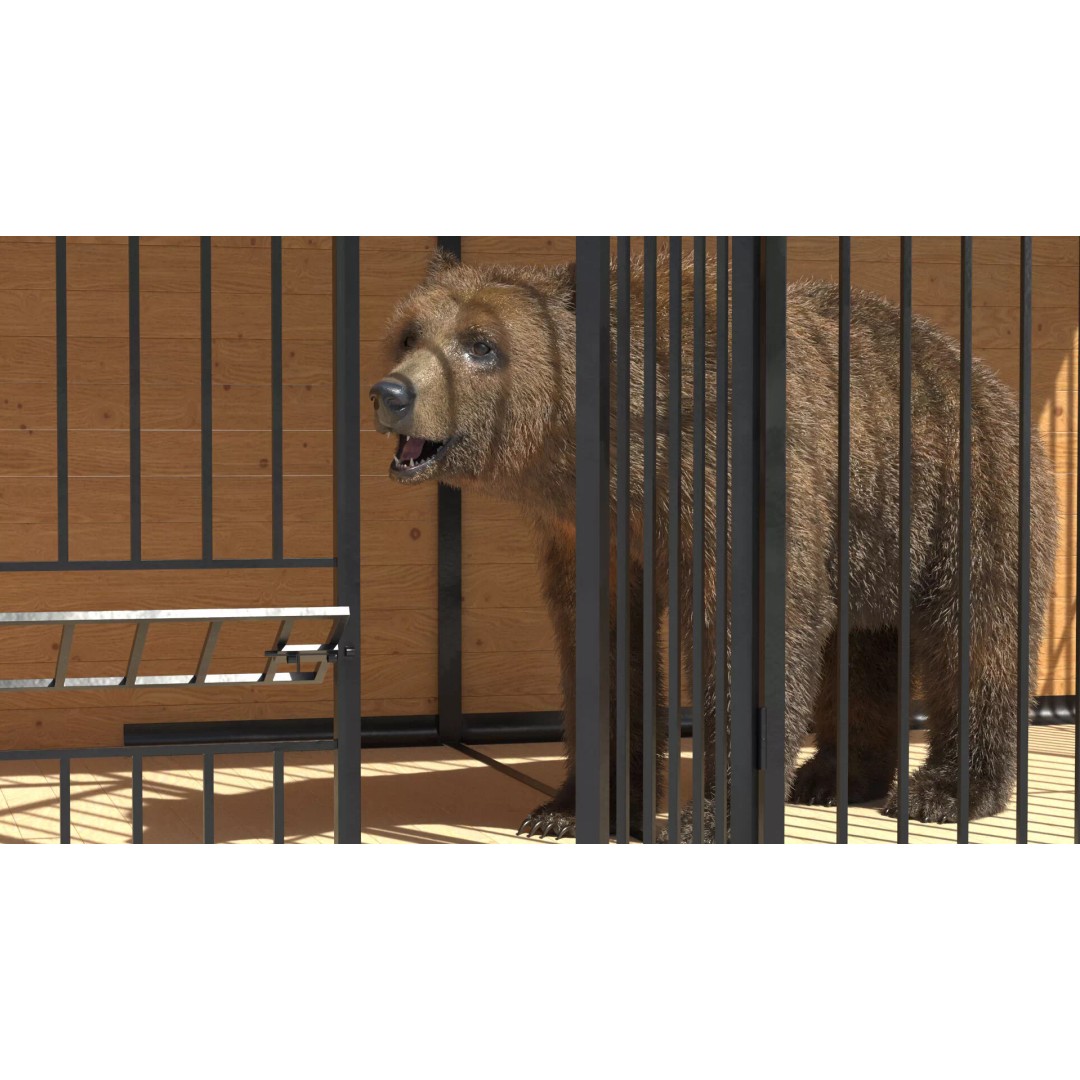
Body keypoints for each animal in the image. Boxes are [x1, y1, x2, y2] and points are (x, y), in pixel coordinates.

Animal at [371, 246, 1057, 843]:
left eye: (480, 345)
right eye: (409, 334)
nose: (392, 393)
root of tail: (982, 372)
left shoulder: (728, 492)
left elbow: (743, 641)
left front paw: (705, 815)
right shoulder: (591, 534)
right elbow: (603, 649)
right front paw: (567, 809)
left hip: (962, 503)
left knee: (978, 639)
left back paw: (944, 789)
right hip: (873, 549)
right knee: (865, 650)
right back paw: (831, 777)